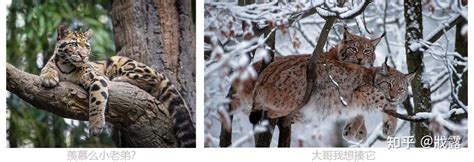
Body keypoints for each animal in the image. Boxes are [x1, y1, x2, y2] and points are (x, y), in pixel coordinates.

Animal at [39, 24, 195, 147]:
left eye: (87, 46)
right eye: (74, 44)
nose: (84, 56)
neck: (66, 65)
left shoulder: (97, 78)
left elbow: (97, 100)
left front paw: (95, 125)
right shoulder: (51, 64)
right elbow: (46, 69)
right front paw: (48, 77)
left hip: (120, 61)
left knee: (152, 79)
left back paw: (119, 79)